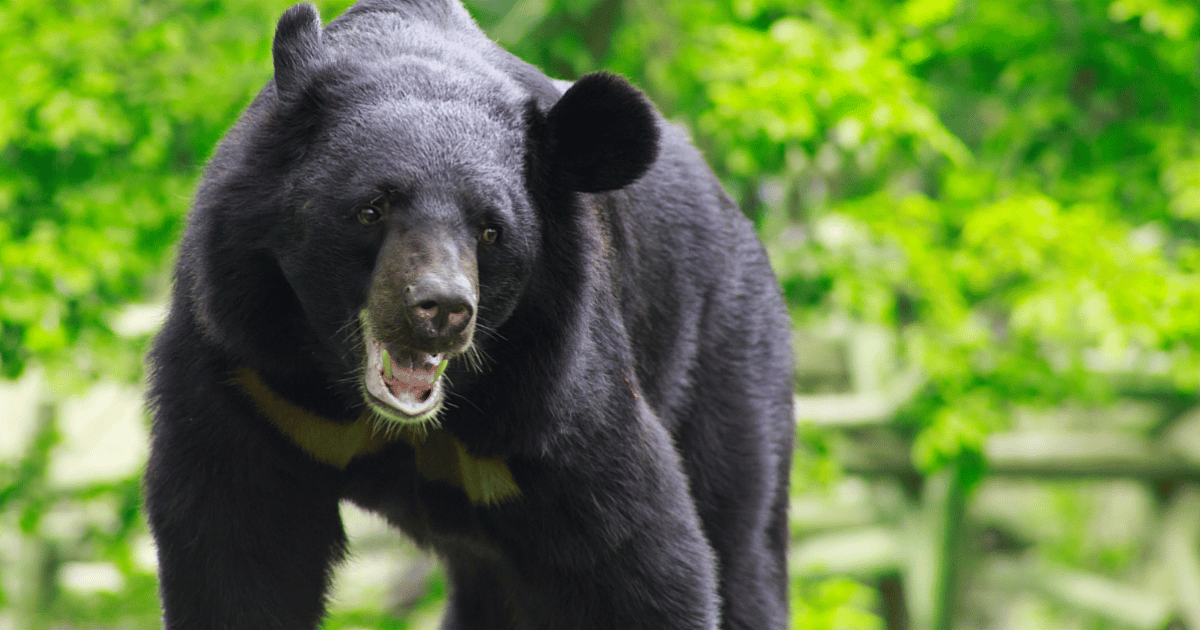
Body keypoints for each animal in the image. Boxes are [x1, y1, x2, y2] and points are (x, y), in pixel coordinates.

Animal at [143, 1, 794, 629]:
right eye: (371, 208)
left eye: (490, 231)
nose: (443, 309)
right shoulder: (248, 373)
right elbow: (237, 548)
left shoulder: (553, 393)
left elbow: (639, 556)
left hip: (726, 364)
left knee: (741, 542)